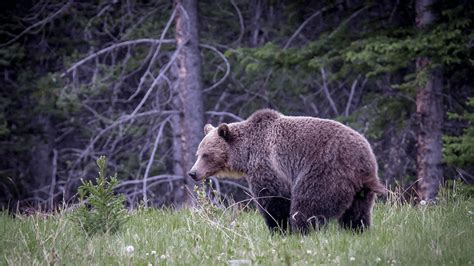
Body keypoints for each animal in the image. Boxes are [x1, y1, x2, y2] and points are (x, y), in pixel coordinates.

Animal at [187, 109, 384, 234]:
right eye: (198, 153)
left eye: (206, 155)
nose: (193, 173)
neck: (246, 153)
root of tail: (363, 163)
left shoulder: (269, 164)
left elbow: (273, 199)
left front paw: (278, 228)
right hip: (360, 188)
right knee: (357, 212)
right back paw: (357, 231)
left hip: (325, 171)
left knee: (309, 203)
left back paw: (303, 230)